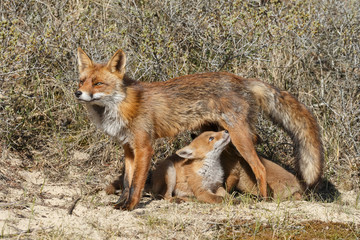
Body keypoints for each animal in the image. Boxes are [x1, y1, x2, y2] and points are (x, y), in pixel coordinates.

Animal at [75, 47, 324, 209]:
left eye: (98, 84)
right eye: (81, 81)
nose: (78, 93)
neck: (121, 106)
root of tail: (242, 80)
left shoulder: (145, 147)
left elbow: (136, 183)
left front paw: (131, 206)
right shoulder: (128, 148)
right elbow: (127, 183)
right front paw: (119, 204)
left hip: (239, 137)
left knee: (260, 168)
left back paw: (263, 199)